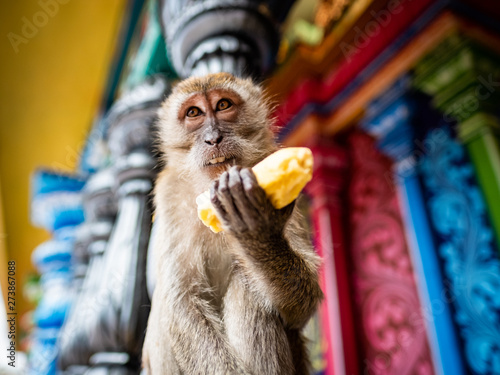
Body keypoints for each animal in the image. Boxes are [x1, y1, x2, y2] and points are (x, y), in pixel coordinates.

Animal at [144, 73, 324, 375]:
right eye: (194, 112)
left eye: (223, 105)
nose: (213, 138)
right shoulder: (169, 193)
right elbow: (183, 299)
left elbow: (302, 304)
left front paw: (258, 233)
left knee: (248, 285)